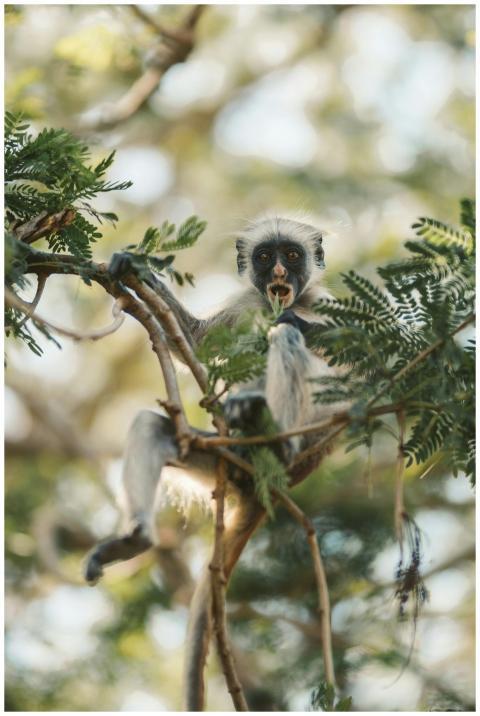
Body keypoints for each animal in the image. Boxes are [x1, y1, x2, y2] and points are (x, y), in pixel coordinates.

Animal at [84, 216, 338, 709]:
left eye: (292, 255)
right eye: (265, 257)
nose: (280, 270)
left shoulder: (325, 305)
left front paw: (294, 321)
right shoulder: (246, 303)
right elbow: (197, 345)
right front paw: (138, 273)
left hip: (306, 442)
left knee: (290, 343)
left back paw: (271, 427)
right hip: (223, 457)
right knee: (152, 427)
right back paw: (135, 540)